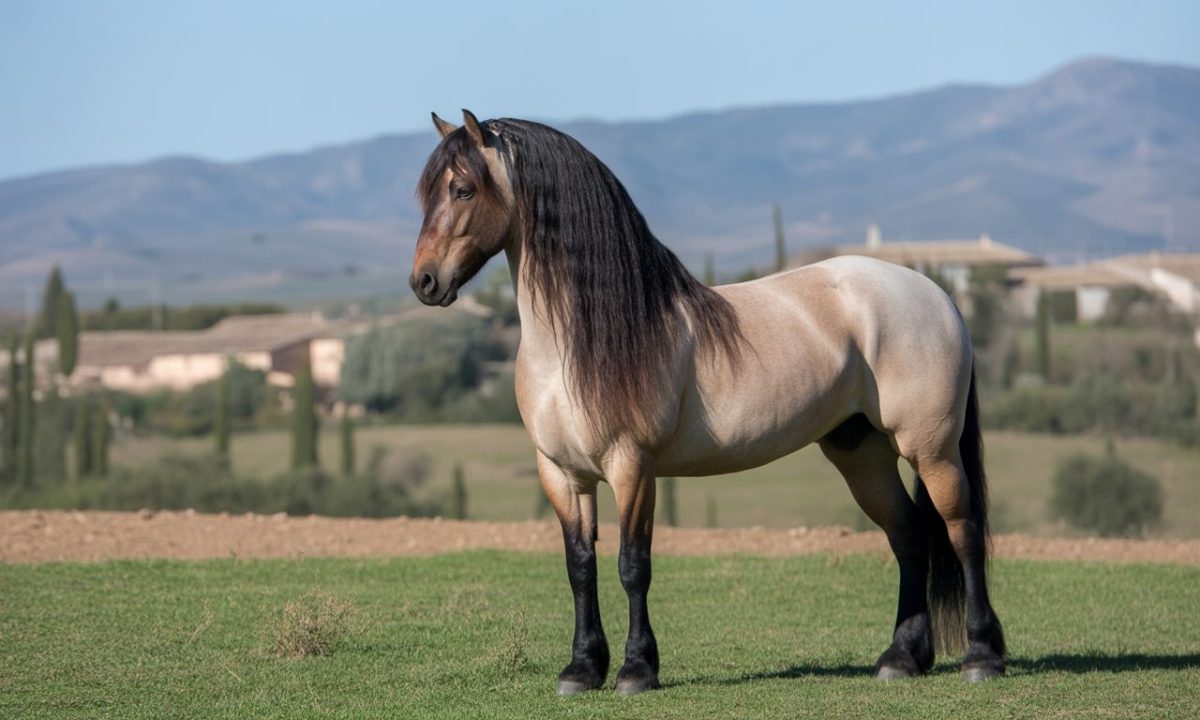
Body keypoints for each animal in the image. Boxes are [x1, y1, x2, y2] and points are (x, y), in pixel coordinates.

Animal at [410, 110, 1006, 694]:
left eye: (463, 190)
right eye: (427, 195)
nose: (424, 282)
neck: (573, 345)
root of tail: (935, 294)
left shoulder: (632, 468)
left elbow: (633, 564)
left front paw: (636, 670)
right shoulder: (561, 474)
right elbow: (580, 566)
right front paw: (581, 669)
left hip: (931, 450)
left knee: (962, 532)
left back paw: (981, 656)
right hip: (863, 453)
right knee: (909, 538)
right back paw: (901, 659)